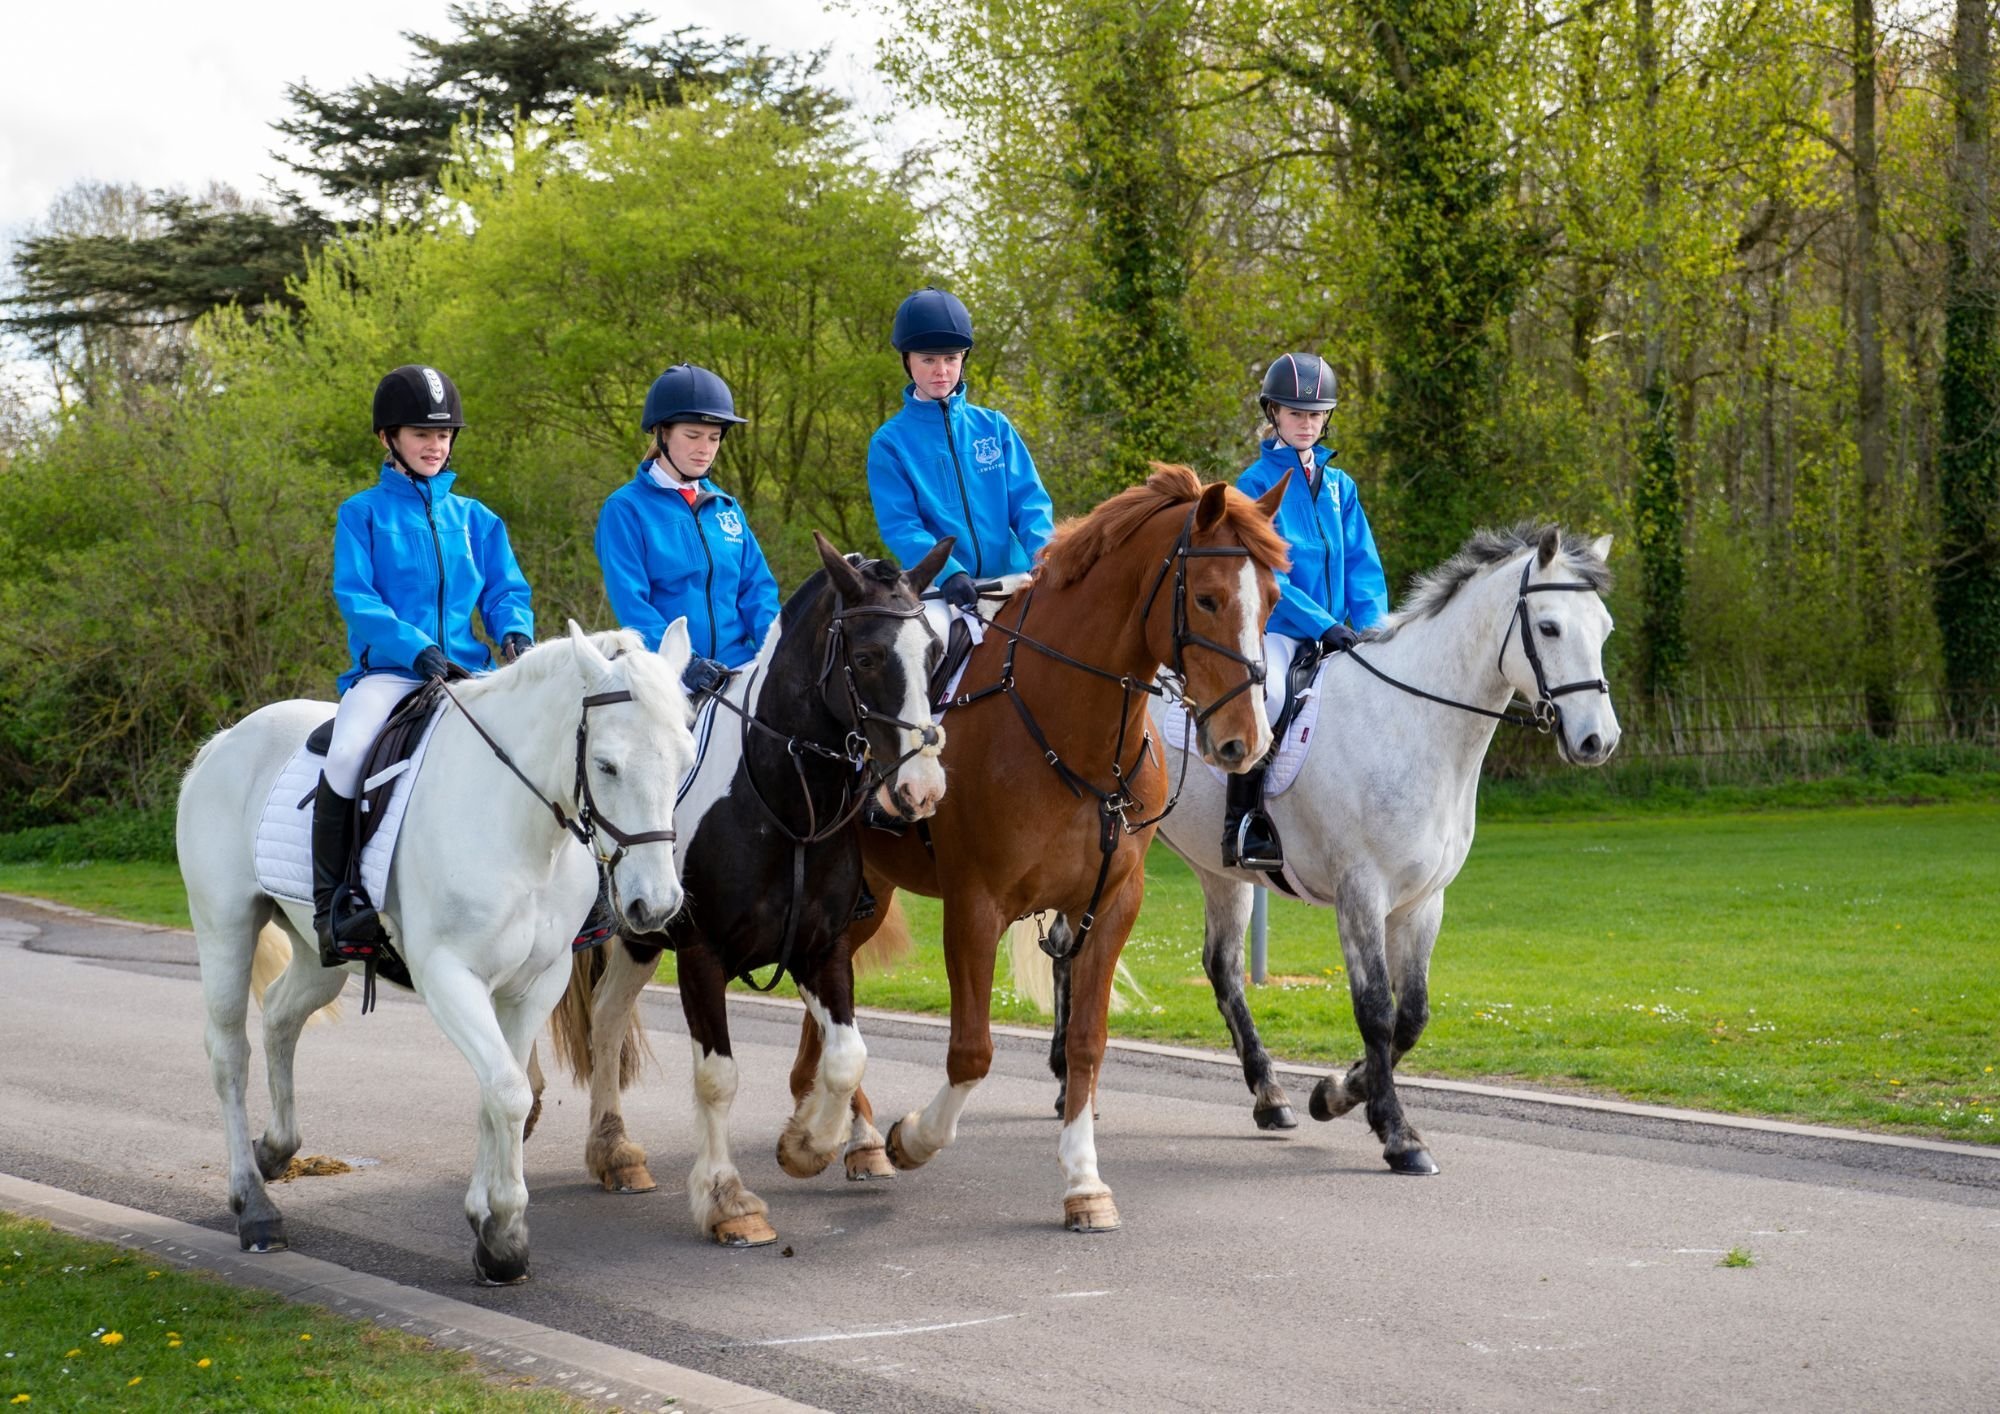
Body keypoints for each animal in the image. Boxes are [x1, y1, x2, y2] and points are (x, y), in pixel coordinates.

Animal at [176, 623, 698, 1283]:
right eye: (606, 765)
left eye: (685, 760)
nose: (655, 905)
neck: (519, 827)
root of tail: (224, 740)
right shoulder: (449, 976)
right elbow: (508, 1091)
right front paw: (504, 1235)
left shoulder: (535, 983)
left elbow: (501, 1089)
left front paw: (486, 1219)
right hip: (224, 927)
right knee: (229, 1053)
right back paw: (253, 1204)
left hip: (319, 956)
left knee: (278, 1018)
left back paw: (274, 1151)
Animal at [538, 533, 954, 1246]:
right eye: (867, 657)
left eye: (934, 653)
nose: (921, 789)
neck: (782, 804)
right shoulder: (701, 956)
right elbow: (717, 1077)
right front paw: (728, 1200)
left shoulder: (823, 950)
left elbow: (846, 1054)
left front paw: (808, 1145)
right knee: (594, 1020)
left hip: (640, 938)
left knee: (608, 1017)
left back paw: (614, 1151)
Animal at [789, 463, 1290, 1233]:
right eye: (1206, 598)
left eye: (1270, 600)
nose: (1246, 740)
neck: (1068, 729)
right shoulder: (975, 907)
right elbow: (971, 1051)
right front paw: (916, 1137)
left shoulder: (1110, 906)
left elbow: (1086, 1044)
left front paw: (1084, 1182)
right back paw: (859, 1131)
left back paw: (841, 1127)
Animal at [1037, 523, 1618, 1176]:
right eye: (1549, 627)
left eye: (1603, 629)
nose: (1598, 740)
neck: (1411, 723)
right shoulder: (1361, 891)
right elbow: (1376, 1009)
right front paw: (1398, 1134)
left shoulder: (1423, 902)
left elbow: (1412, 1016)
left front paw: (1335, 1093)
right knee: (1069, 947)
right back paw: (1068, 1085)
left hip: (1217, 870)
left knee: (1221, 967)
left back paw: (1270, 1097)